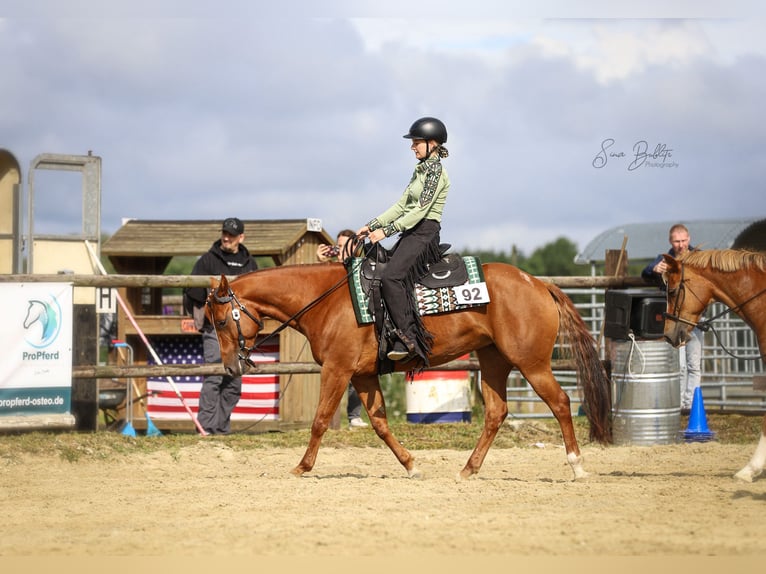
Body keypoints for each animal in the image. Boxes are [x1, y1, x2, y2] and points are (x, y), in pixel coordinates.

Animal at [206, 260, 613, 480]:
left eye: (223, 320)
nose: (229, 366)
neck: (327, 300)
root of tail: (539, 283)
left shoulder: (337, 370)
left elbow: (320, 420)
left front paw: (302, 467)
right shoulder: (363, 375)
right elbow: (380, 423)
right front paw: (411, 464)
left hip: (531, 363)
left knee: (560, 403)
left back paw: (577, 466)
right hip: (493, 361)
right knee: (496, 412)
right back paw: (468, 470)